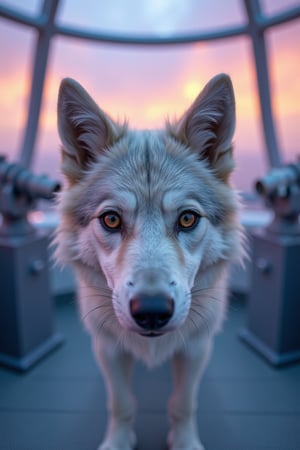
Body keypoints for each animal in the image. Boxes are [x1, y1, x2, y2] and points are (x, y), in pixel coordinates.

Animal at [55, 74, 244, 450]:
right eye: (111, 220)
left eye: (187, 219)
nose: (153, 311)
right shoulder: (108, 348)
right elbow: (121, 403)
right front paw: (117, 441)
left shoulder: (196, 348)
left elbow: (183, 403)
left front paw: (185, 442)